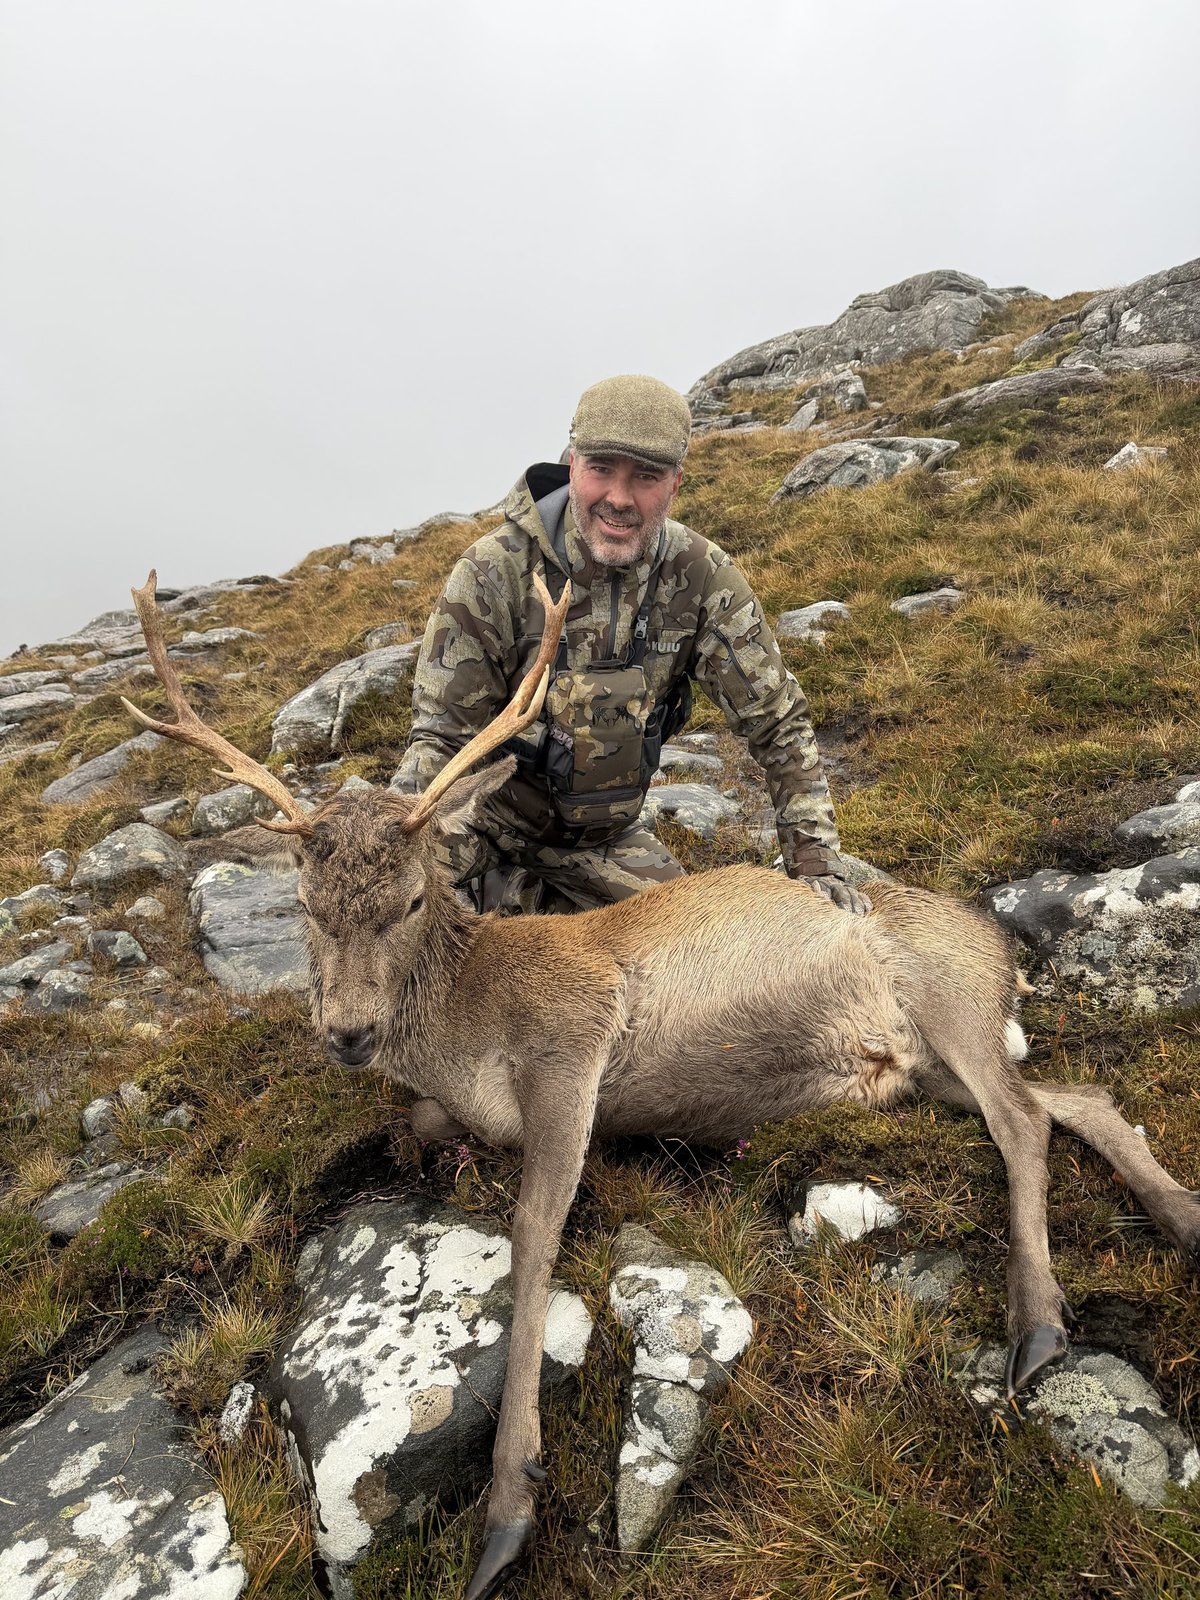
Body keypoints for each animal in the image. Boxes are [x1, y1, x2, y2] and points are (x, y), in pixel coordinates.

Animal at [122, 568, 1200, 1600]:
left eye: (415, 897)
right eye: (304, 904)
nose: (347, 1031)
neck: (466, 1029)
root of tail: (997, 942)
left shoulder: (573, 1036)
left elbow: (534, 1232)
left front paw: (509, 1513)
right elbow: (428, 1129)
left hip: (948, 995)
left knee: (1022, 1118)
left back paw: (1039, 1324)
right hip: (919, 1067)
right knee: (1076, 1100)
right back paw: (1179, 1216)